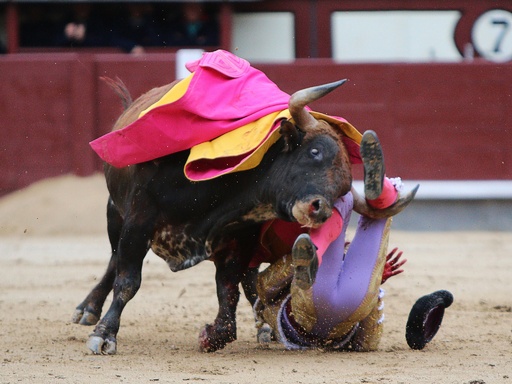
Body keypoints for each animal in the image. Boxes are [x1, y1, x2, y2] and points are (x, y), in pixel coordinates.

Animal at [73, 77, 404, 354]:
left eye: (343, 189)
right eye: (314, 152)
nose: (319, 209)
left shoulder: (240, 240)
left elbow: (229, 291)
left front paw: (212, 334)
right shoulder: (139, 222)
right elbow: (128, 280)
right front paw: (104, 334)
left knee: (250, 282)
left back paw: (265, 327)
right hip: (115, 213)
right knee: (114, 258)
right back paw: (88, 309)